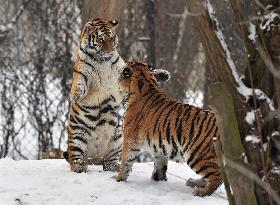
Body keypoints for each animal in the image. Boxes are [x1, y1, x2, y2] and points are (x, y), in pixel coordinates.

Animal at [65, 18, 125, 173]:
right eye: (101, 39)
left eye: (111, 38)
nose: (109, 50)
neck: (102, 59)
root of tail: (94, 159)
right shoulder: (83, 73)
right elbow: (78, 84)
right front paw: (74, 95)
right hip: (77, 135)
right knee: (74, 159)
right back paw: (79, 167)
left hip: (118, 136)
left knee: (108, 163)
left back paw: (114, 166)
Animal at [115, 61, 222, 196]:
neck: (146, 84)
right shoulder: (160, 146)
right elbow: (160, 164)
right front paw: (158, 179)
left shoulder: (130, 140)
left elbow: (125, 162)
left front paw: (118, 179)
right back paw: (194, 182)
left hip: (198, 154)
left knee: (218, 176)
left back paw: (202, 192)